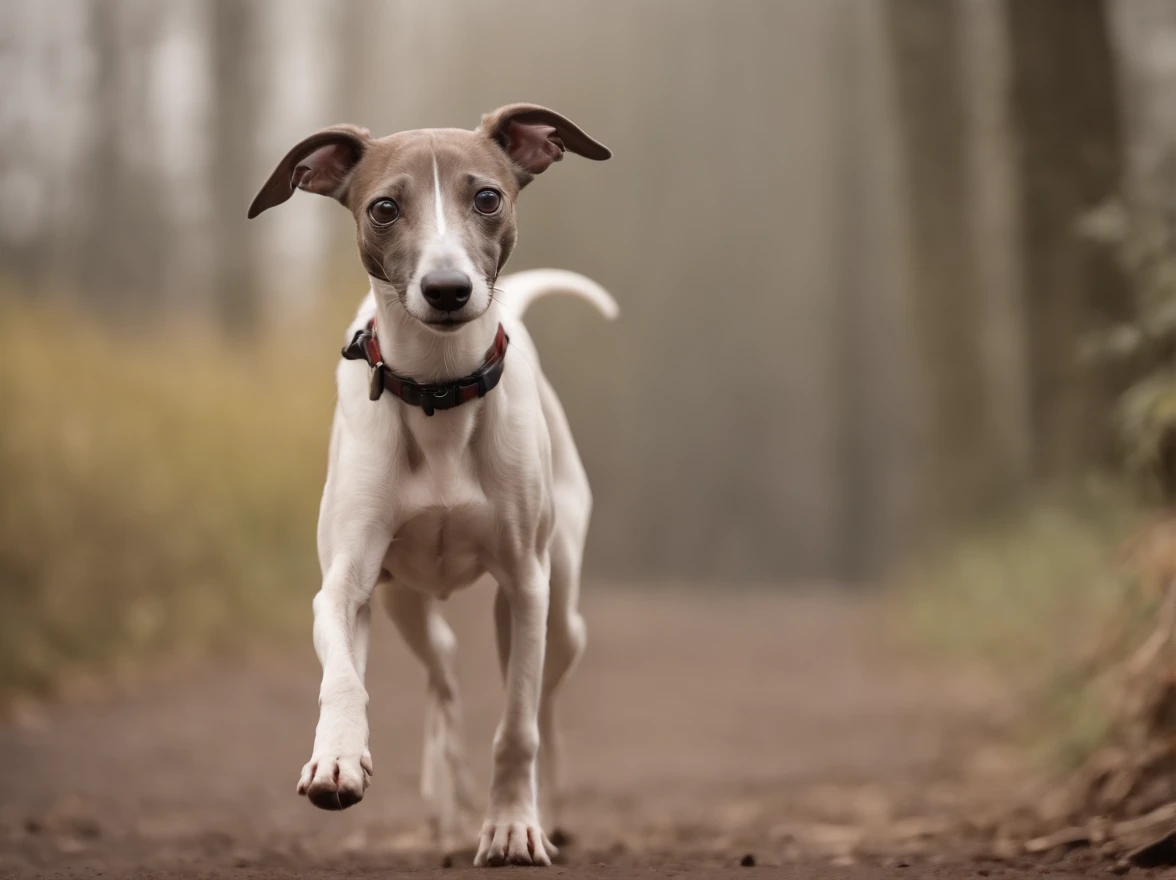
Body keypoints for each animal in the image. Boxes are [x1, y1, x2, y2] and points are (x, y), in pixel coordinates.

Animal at [248, 104, 616, 865]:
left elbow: (517, 725)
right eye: (384, 208)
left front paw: (511, 826)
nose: (448, 290)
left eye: (489, 198)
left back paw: (544, 808)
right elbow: (343, 675)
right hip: (404, 603)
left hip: (559, 611)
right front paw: (336, 759)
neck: (439, 391)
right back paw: (444, 805)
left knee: (546, 702)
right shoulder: (345, 583)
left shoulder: (525, 585)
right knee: (442, 671)